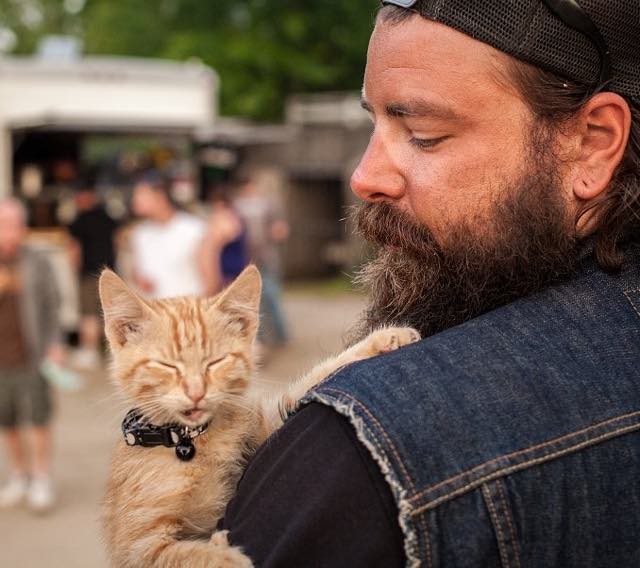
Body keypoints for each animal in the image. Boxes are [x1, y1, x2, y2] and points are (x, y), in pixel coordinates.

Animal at [100, 268, 420, 568]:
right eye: (166, 366)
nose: (196, 392)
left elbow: (308, 384)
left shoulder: (266, 426)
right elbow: (176, 555)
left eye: (216, 362)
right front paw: (224, 556)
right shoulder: (134, 545)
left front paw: (384, 338)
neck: (193, 441)